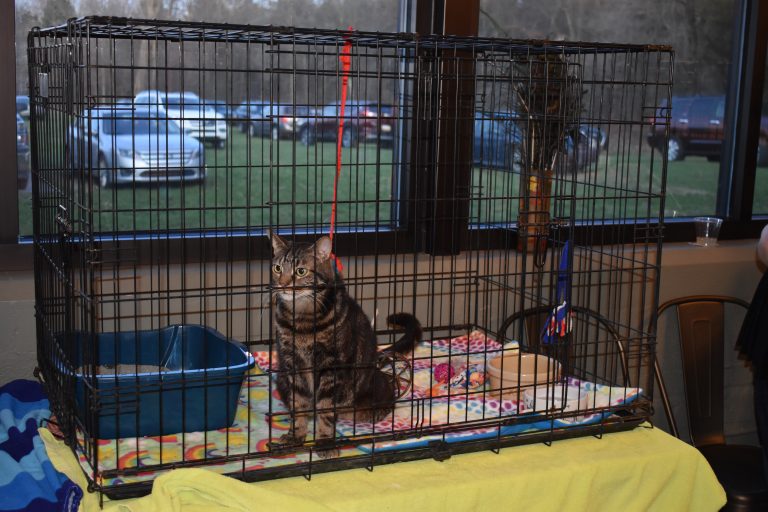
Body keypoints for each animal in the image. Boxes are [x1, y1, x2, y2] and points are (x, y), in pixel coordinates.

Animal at [268, 231, 421, 459]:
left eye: (301, 271)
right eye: (277, 268)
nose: (284, 285)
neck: (301, 319)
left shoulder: (331, 366)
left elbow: (325, 409)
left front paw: (324, 442)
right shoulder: (292, 363)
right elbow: (299, 405)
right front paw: (295, 437)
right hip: (281, 379)